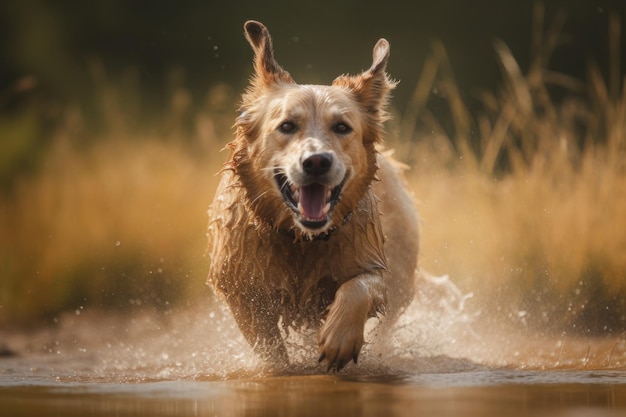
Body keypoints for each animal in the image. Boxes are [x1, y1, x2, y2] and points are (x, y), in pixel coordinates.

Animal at [207, 20, 416, 370]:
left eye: (342, 127)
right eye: (287, 126)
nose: (317, 161)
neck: (300, 239)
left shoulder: (373, 265)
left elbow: (360, 286)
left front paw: (340, 338)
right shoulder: (244, 291)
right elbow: (269, 346)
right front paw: (279, 368)